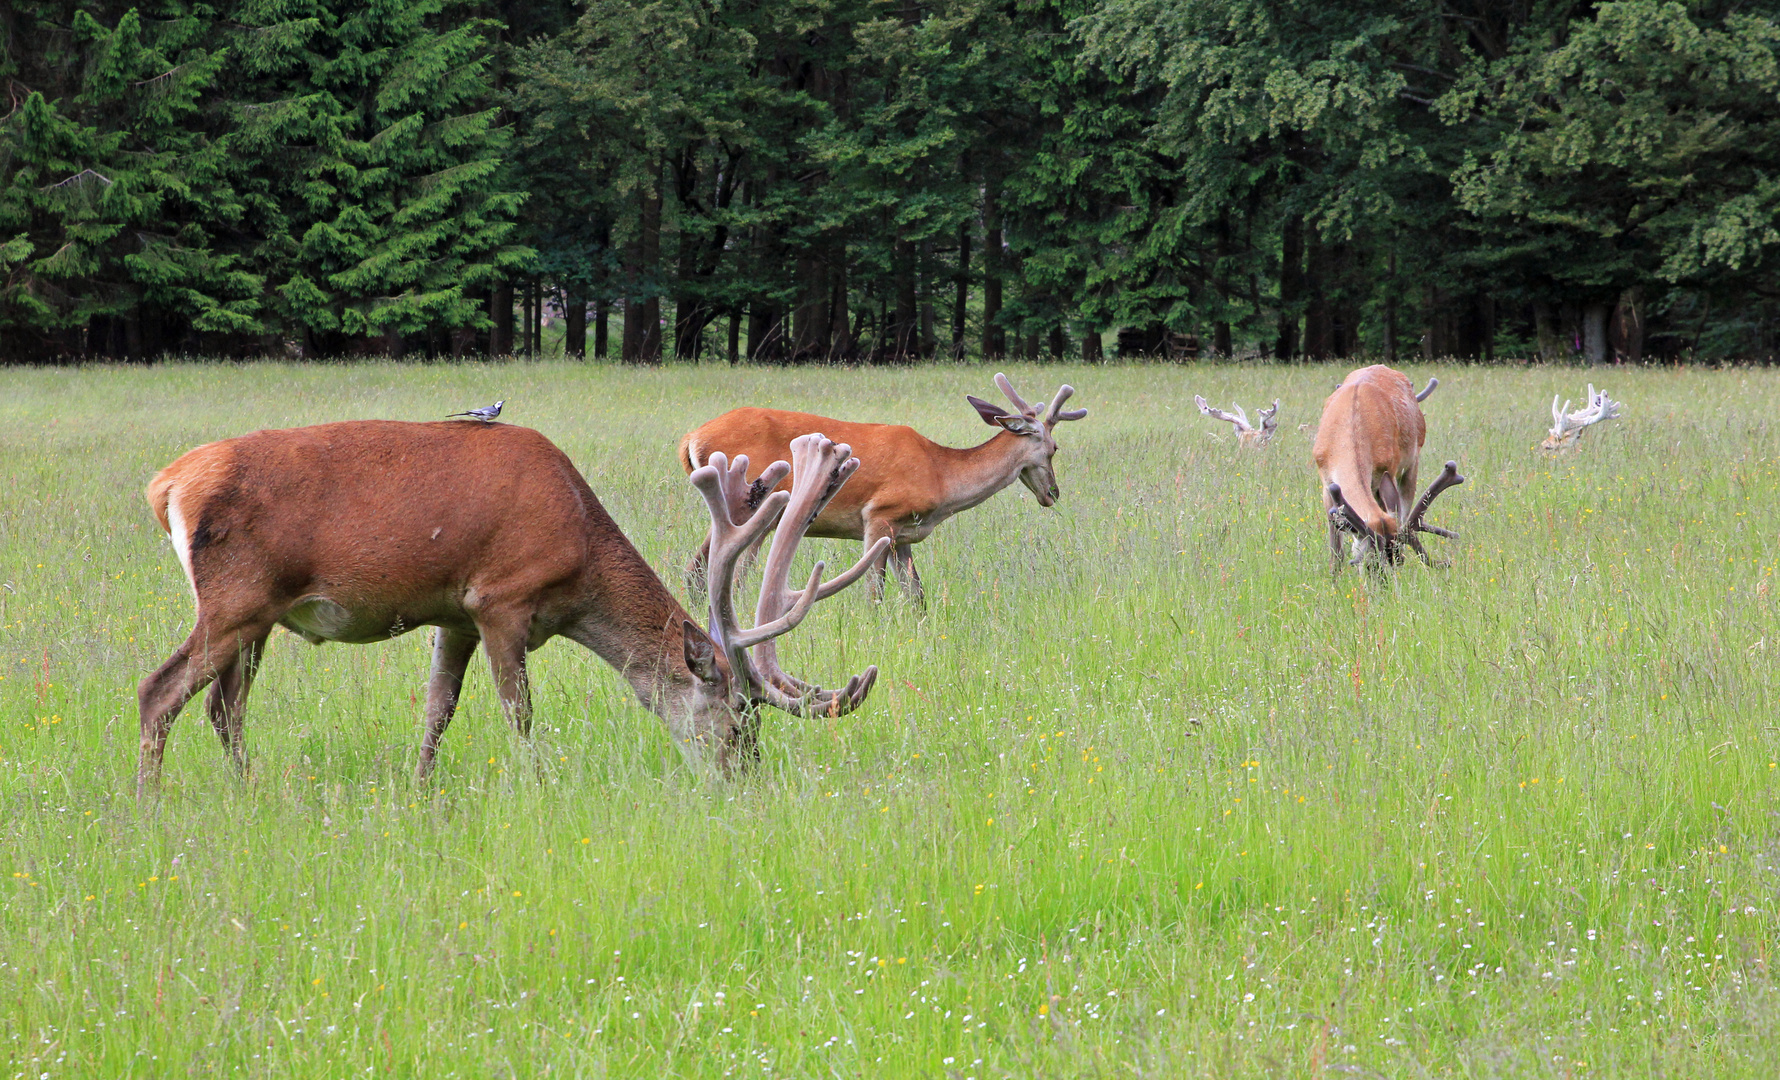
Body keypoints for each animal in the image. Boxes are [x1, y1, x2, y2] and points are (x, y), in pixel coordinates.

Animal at [135, 423, 886, 793]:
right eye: (737, 721)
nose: (747, 784)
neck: (579, 555)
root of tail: (166, 485)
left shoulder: (452, 614)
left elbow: (437, 710)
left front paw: (420, 793)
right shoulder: (500, 597)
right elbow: (519, 711)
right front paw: (540, 788)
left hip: (258, 618)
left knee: (223, 707)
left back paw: (248, 789)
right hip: (236, 598)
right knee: (158, 690)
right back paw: (150, 803)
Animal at [676, 373, 1082, 604]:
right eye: (1054, 448)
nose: (1054, 494)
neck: (941, 476)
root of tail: (691, 437)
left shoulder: (905, 534)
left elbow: (917, 595)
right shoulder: (879, 515)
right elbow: (875, 590)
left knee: (701, 569)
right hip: (750, 502)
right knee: (718, 572)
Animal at [1317, 364, 1466, 576]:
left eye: (1397, 558)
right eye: (1370, 564)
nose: (1386, 582)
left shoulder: (1388, 468)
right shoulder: (1325, 479)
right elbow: (1335, 553)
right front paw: (1334, 579)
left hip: (1412, 461)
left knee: (1404, 510)